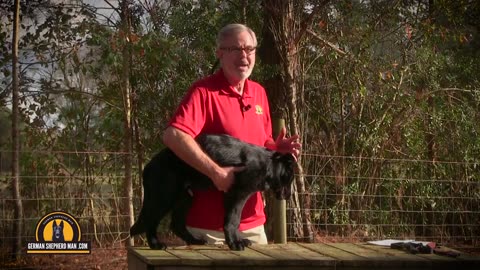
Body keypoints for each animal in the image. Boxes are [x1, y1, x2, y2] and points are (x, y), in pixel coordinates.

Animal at [130, 134, 296, 250]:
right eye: (290, 178)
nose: (288, 196)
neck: (268, 164)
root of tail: (148, 166)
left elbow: (233, 221)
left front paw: (238, 240)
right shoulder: (237, 194)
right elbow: (233, 220)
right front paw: (234, 243)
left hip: (185, 197)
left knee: (176, 224)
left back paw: (195, 241)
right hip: (164, 196)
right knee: (151, 220)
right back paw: (155, 244)